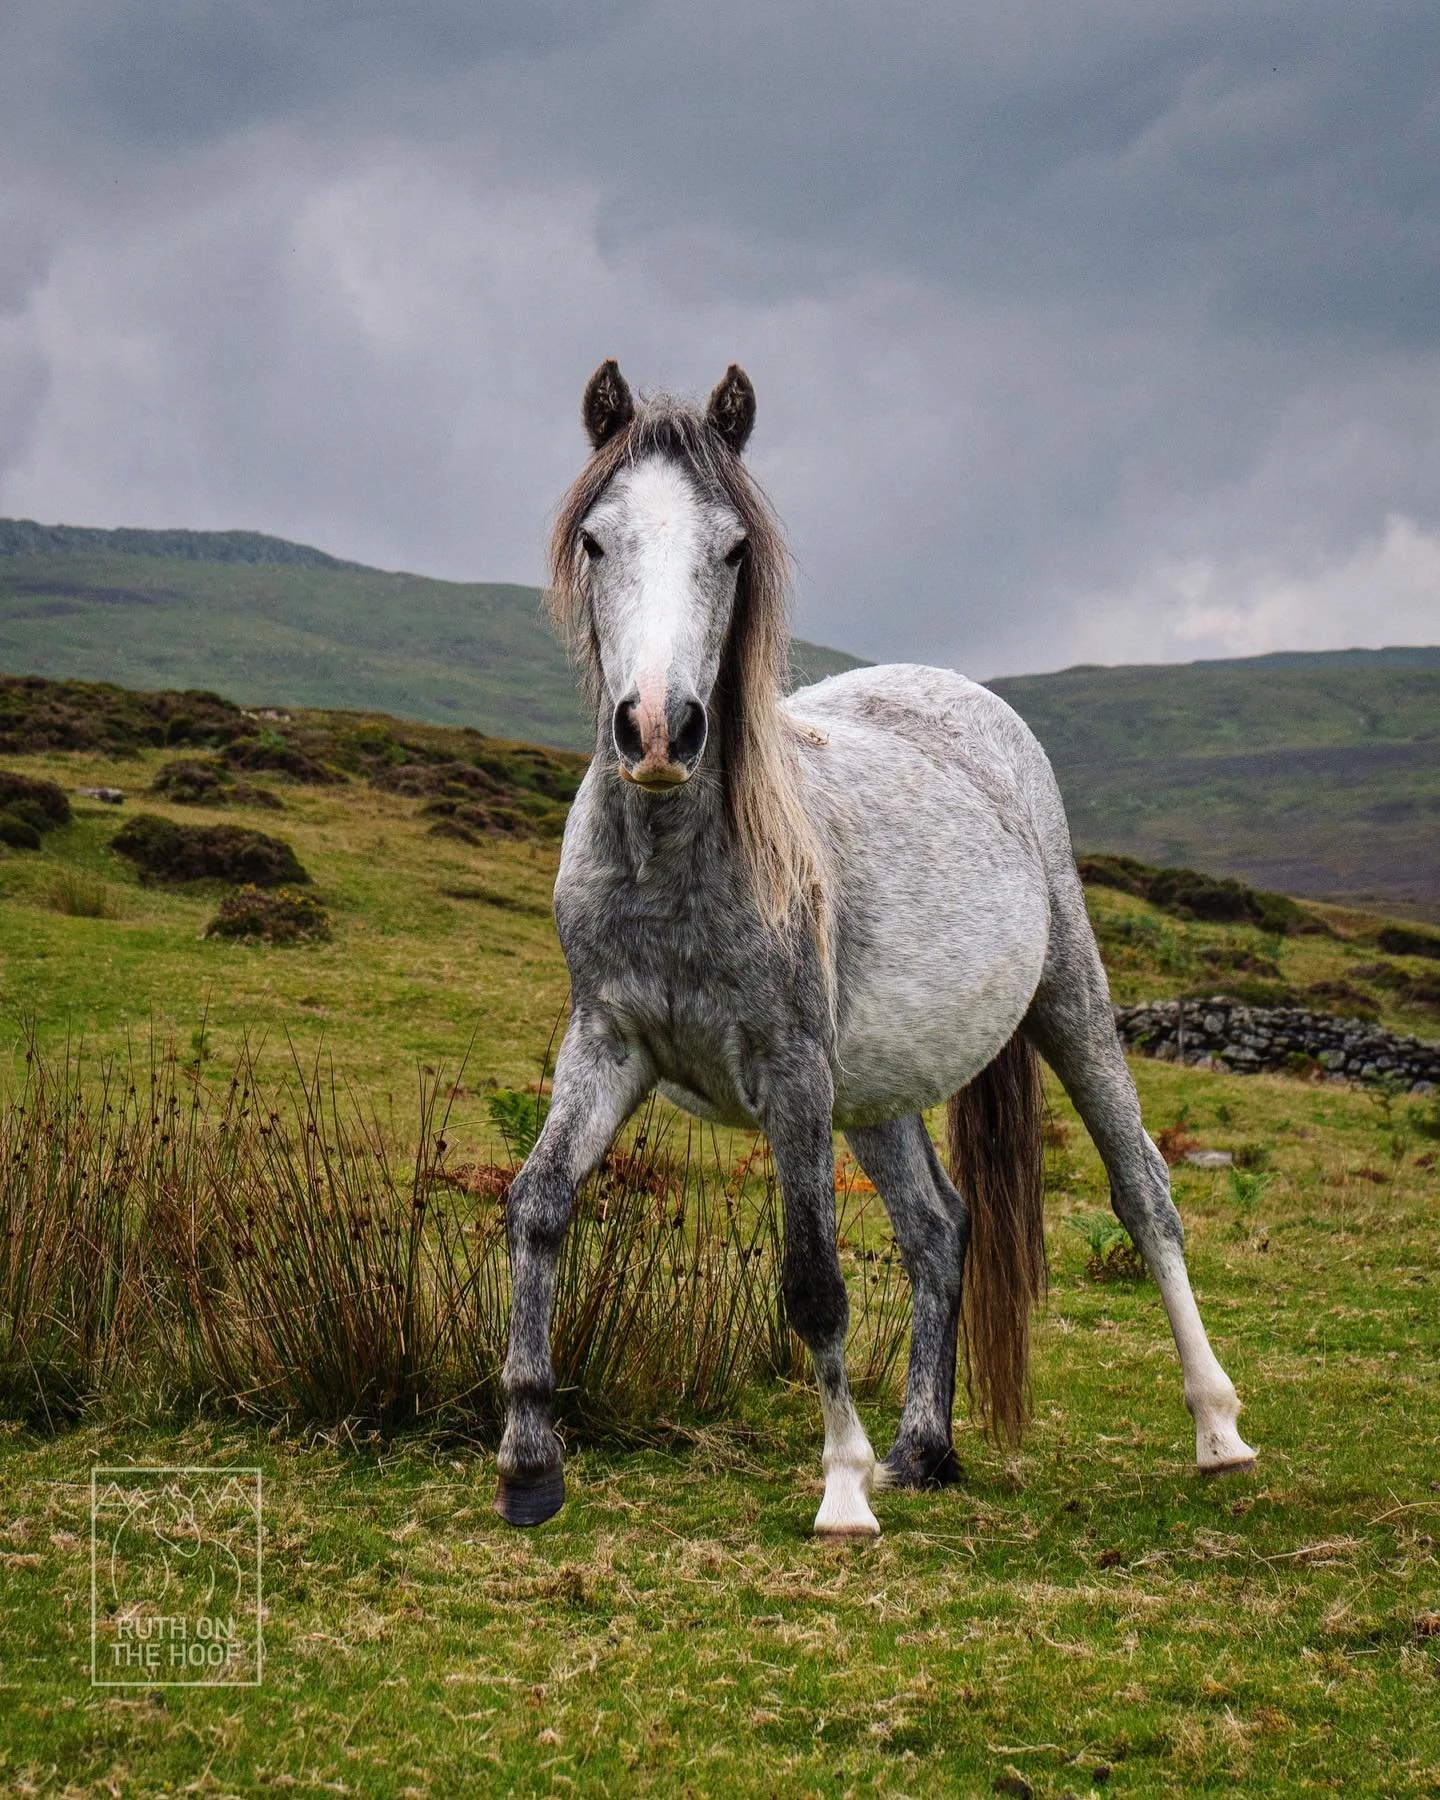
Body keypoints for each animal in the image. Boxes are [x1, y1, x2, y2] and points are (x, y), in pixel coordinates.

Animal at [493, 359, 1255, 1537]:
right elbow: (537, 1205)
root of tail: (964, 694)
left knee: (1143, 1193)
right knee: (940, 1228)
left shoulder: (793, 1072)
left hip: (1067, 1000)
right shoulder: (609, 1042)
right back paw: (923, 1448)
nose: (659, 730)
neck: (673, 861)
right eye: (595, 539)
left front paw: (843, 1489)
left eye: (734, 548)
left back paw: (1217, 1431)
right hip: (881, 1090)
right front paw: (529, 1459)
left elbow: (813, 1280)